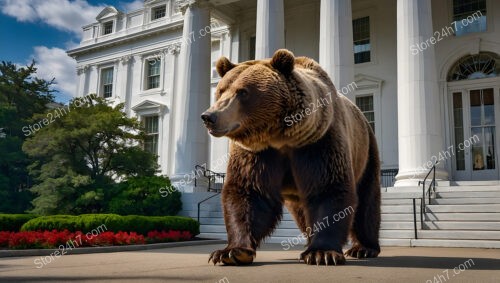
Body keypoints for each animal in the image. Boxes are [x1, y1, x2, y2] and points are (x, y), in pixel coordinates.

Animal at [201, 48, 380, 266]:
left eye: (242, 92)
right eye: (220, 91)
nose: (209, 116)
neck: (281, 138)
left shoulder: (319, 143)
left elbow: (328, 190)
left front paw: (322, 252)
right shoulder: (257, 154)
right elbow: (249, 194)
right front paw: (231, 252)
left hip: (366, 150)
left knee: (367, 201)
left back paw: (363, 248)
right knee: (302, 213)